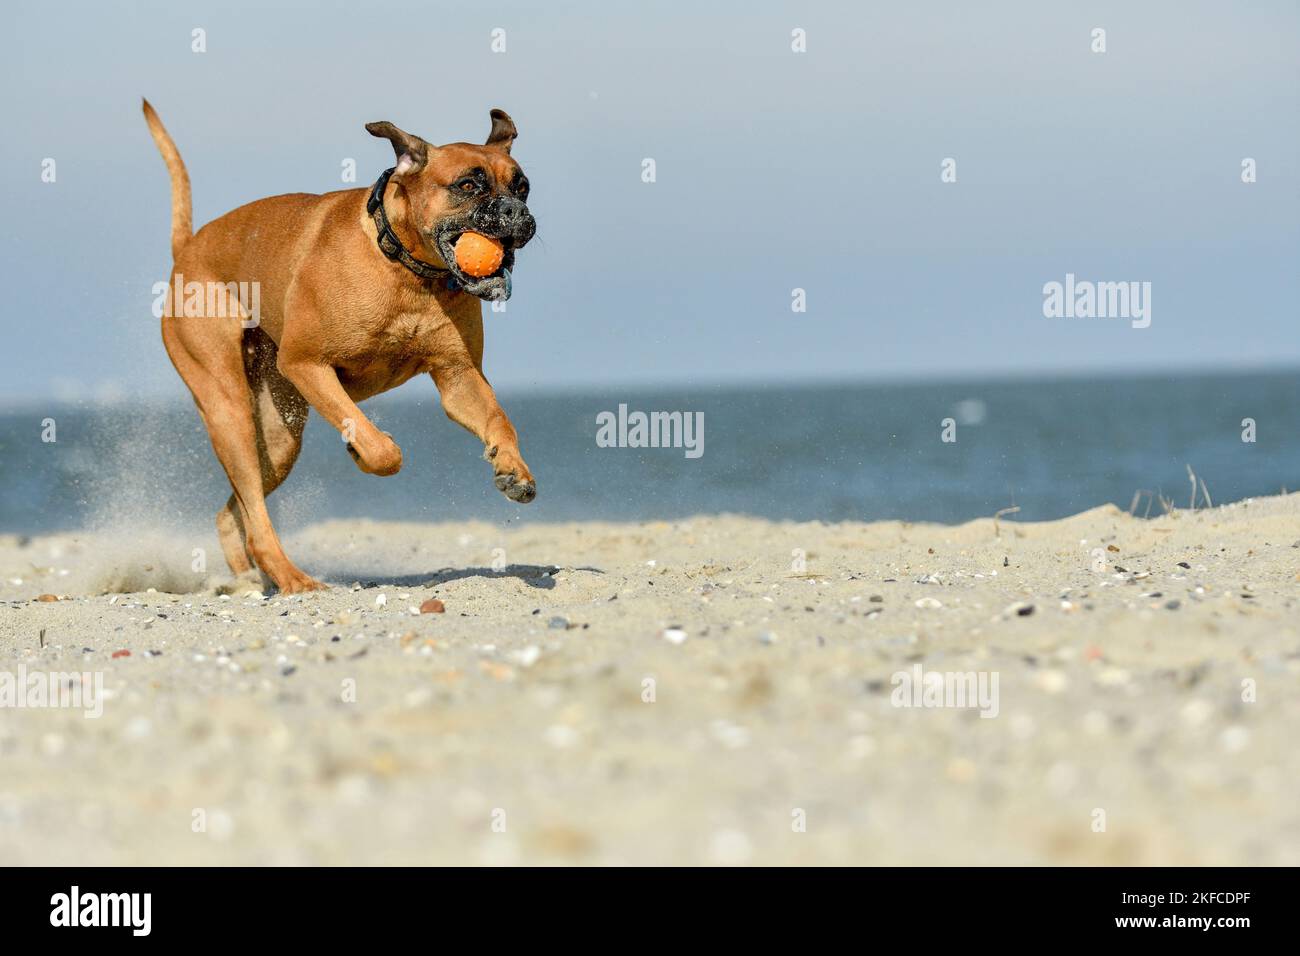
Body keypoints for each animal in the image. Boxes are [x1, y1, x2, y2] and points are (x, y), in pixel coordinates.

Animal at [146, 97, 538, 590]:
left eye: (523, 187)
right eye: (468, 185)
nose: (516, 213)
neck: (409, 271)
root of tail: (188, 249)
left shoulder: (459, 378)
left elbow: (500, 420)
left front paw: (513, 468)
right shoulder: (307, 364)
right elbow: (382, 449)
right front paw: (365, 448)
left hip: (278, 439)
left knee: (235, 512)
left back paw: (249, 579)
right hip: (228, 409)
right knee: (255, 515)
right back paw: (293, 579)